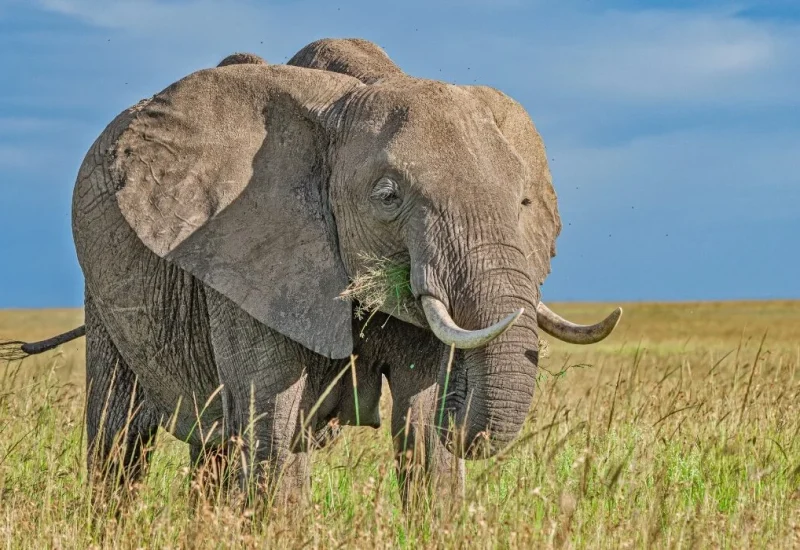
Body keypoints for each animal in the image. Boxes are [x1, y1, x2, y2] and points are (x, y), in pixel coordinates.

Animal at [1, 38, 622, 508]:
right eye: (388, 196)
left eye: (523, 203)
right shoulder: (243, 254)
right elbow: (273, 418)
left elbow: (423, 426)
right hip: (102, 287)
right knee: (120, 434)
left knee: (213, 442)